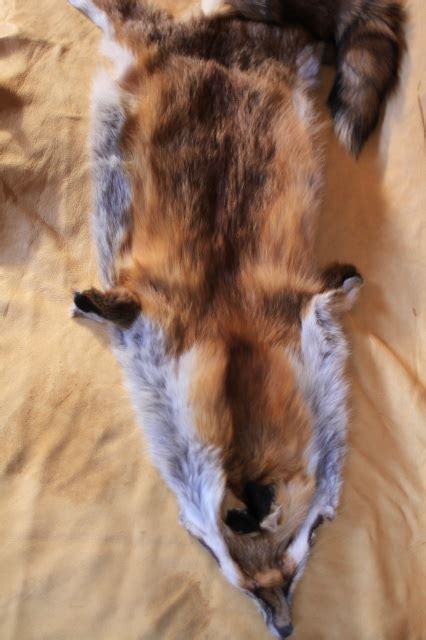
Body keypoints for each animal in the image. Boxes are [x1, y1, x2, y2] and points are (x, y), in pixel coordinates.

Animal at [67, 0, 379, 636]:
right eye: (245, 584)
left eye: (295, 565)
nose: (285, 629)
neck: (227, 338)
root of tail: (232, 23)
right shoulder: (155, 317)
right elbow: (118, 306)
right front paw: (89, 305)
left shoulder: (297, 312)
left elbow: (331, 297)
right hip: (144, 42)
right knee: (124, 14)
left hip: (283, 58)